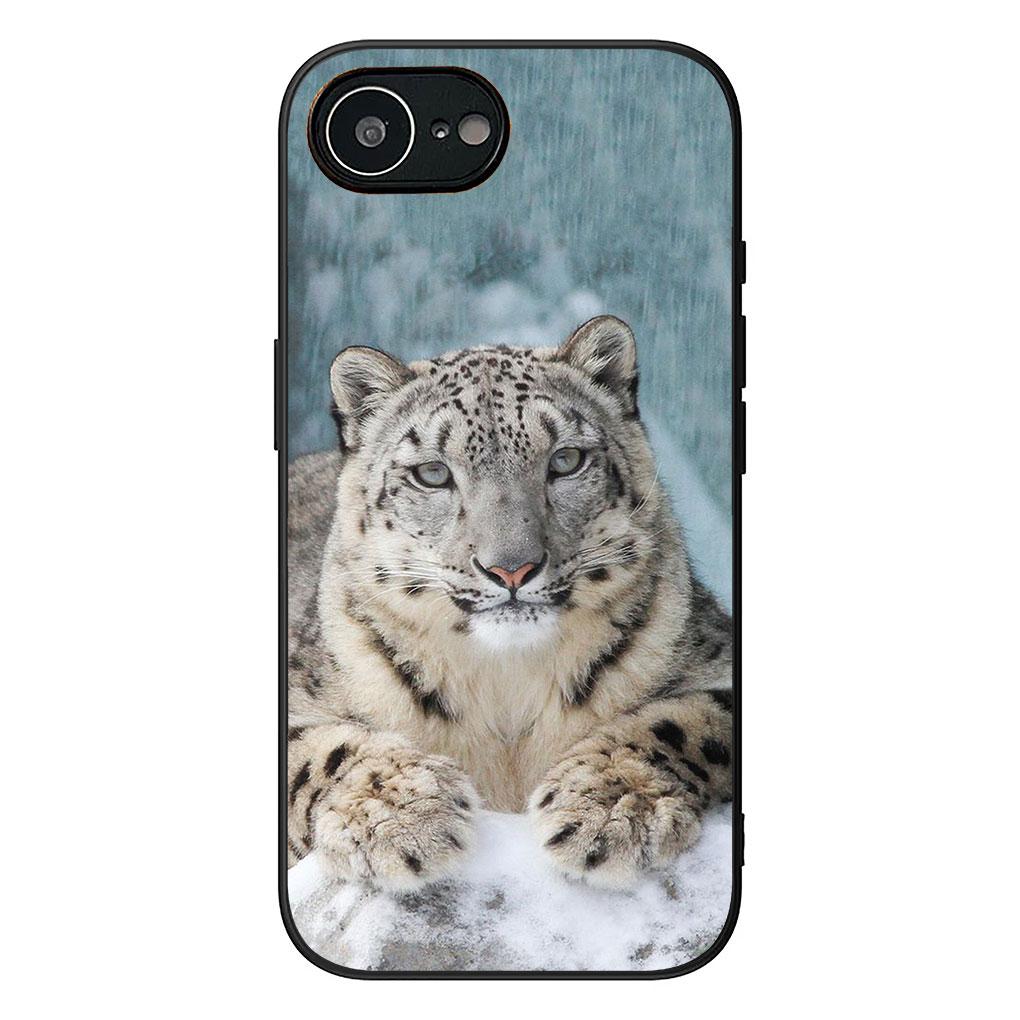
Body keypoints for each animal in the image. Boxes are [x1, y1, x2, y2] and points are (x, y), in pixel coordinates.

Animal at [287, 315, 733, 891]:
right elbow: (318, 748)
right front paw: (402, 816)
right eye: (433, 473)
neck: (507, 685)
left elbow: (682, 721)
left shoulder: (715, 661)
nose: (511, 568)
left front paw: (610, 807)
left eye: (566, 460)